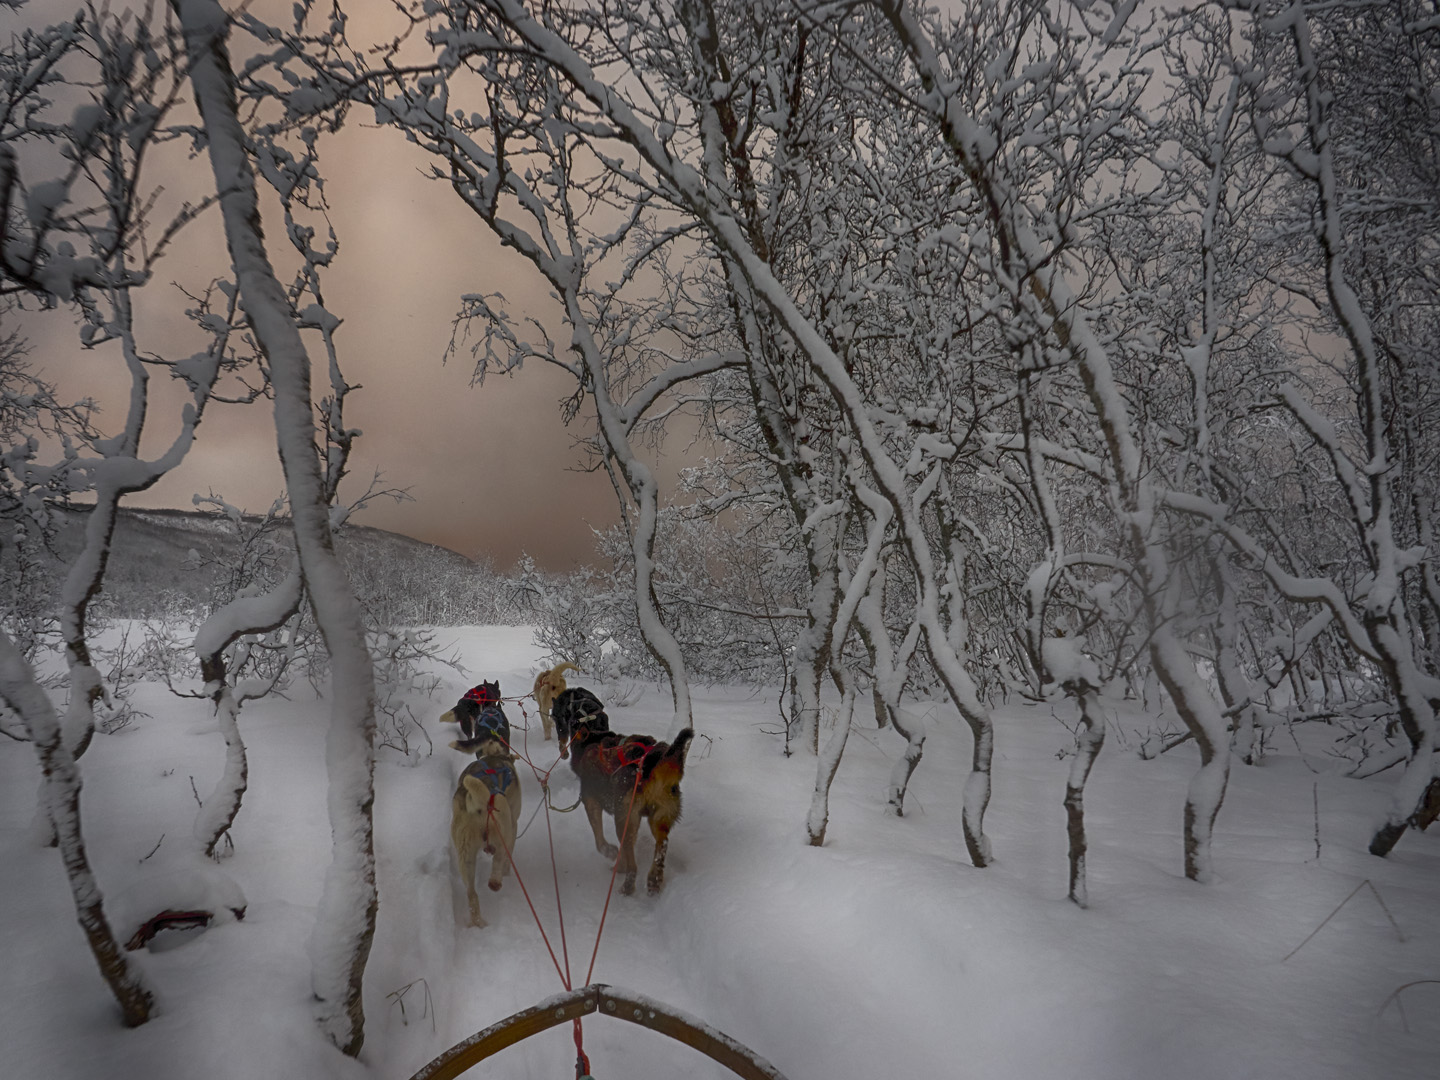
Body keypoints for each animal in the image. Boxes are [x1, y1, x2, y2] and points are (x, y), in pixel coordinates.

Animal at [449, 754, 524, 933]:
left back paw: (477, 921)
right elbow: (507, 860)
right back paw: (495, 881)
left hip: (465, 855)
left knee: (471, 893)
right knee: (499, 858)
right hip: (504, 829)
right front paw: (506, 873)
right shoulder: (514, 825)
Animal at [547, 688, 694, 898]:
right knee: (662, 845)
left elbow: (600, 841)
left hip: (625, 818)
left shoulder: (590, 801)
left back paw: (628, 886)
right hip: (659, 817)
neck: (592, 732)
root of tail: (653, 761)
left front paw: (612, 854)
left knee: (633, 863)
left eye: (557, 714)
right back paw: (654, 879)